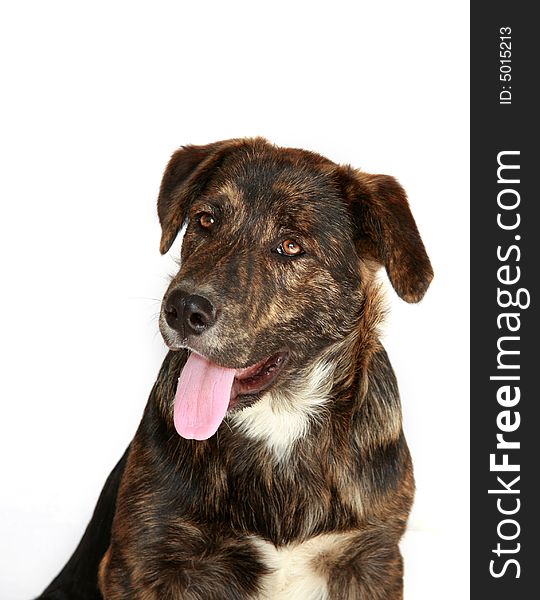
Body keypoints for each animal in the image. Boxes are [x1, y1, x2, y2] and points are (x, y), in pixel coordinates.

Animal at [38, 138, 432, 600]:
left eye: (291, 246)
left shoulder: (372, 562)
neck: (279, 420)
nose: (183, 309)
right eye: (205, 220)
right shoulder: (142, 561)